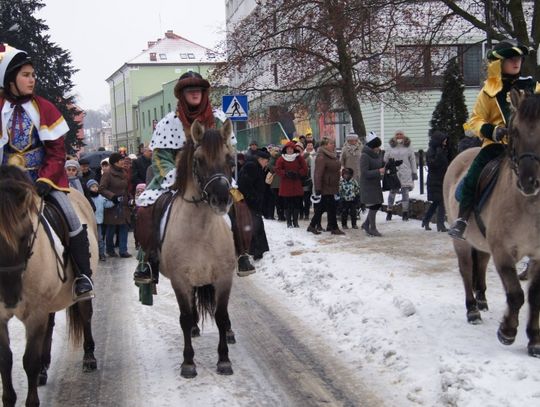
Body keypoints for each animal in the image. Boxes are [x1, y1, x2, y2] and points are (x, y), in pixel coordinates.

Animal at [0, 167, 98, 407]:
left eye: (26, 235)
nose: (10, 297)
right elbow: (5, 360)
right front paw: (9, 399)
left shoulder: (35, 314)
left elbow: (29, 361)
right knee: (51, 325)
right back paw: (45, 368)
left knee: (86, 315)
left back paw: (89, 357)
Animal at [160, 118, 236, 380]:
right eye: (199, 160)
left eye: (230, 159)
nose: (221, 199)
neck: (201, 233)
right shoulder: (180, 280)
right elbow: (184, 317)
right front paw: (188, 363)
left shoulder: (223, 278)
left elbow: (221, 317)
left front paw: (224, 360)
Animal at [442, 90, 540, 356]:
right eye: (514, 130)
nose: (529, 181)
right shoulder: (503, 251)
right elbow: (516, 294)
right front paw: (507, 331)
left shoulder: (539, 255)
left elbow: (534, 296)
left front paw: (534, 340)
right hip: (462, 241)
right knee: (466, 270)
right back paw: (473, 309)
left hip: (483, 243)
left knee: (481, 265)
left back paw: (482, 300)